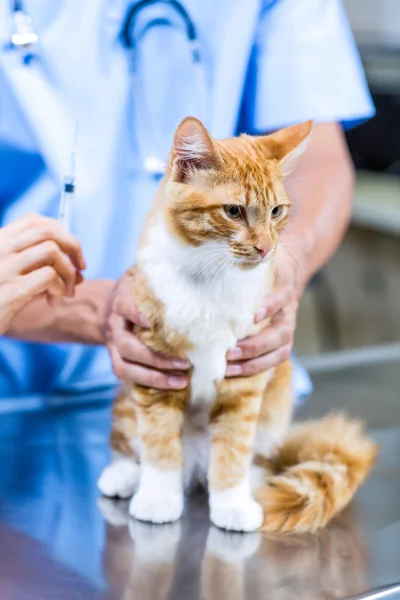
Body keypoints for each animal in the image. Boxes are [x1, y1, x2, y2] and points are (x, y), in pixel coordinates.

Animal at [98, 115, 376, 532]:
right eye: (233, 210)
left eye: (277, 211)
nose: (266, 248)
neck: (209, 278)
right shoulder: (155, 374)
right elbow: (160, 444)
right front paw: (159, 497)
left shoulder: (245, 383)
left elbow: (232, 449)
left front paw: (232, 503)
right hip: (128, 402)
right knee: (133, 443)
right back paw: (125, 474)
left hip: (276, 403)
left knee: (254, 456)